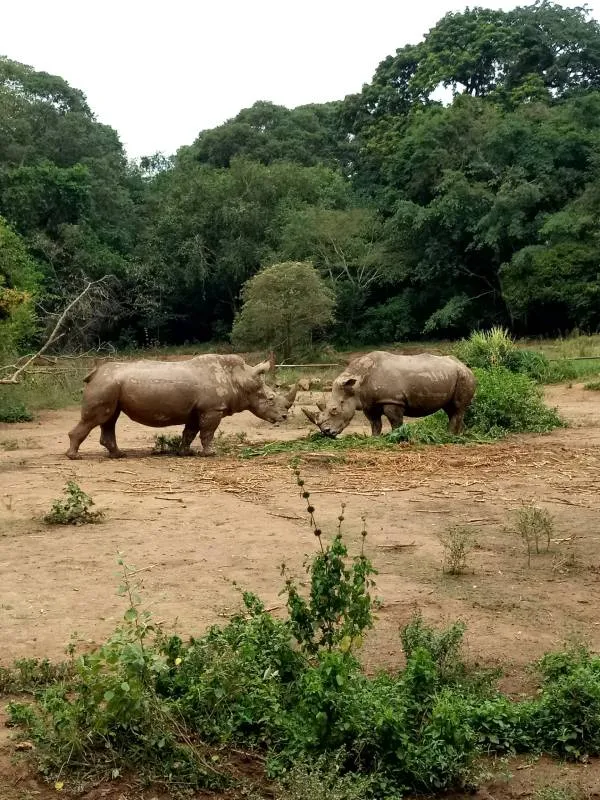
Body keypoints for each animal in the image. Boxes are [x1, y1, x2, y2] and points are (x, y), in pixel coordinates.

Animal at [66, 354, 298, 460]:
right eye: (270, 398)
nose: (284, 417)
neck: (240, 379)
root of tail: (95, 373)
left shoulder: (198, 410)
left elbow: (190, 432)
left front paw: (185, 452)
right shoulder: (212, 409)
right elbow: (207, 433)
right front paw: (210, 454)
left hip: (111, 385)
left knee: (109, 419)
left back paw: (118, 455)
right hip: (106, 385)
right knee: (97, 419)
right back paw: (74, 456)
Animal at [302, 351, 476, 437]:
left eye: (334, 410)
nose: (326, 432)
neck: (356, 382)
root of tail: (464, 365)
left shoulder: (392, 400)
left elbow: (395, 422)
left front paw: (397, 437)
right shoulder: (369, 402)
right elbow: (375, 423)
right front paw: (375, 439)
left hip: (463, 376)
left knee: (457, 408)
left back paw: (449, 437)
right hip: (451, 375)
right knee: (451, 409)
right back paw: (458, 436)